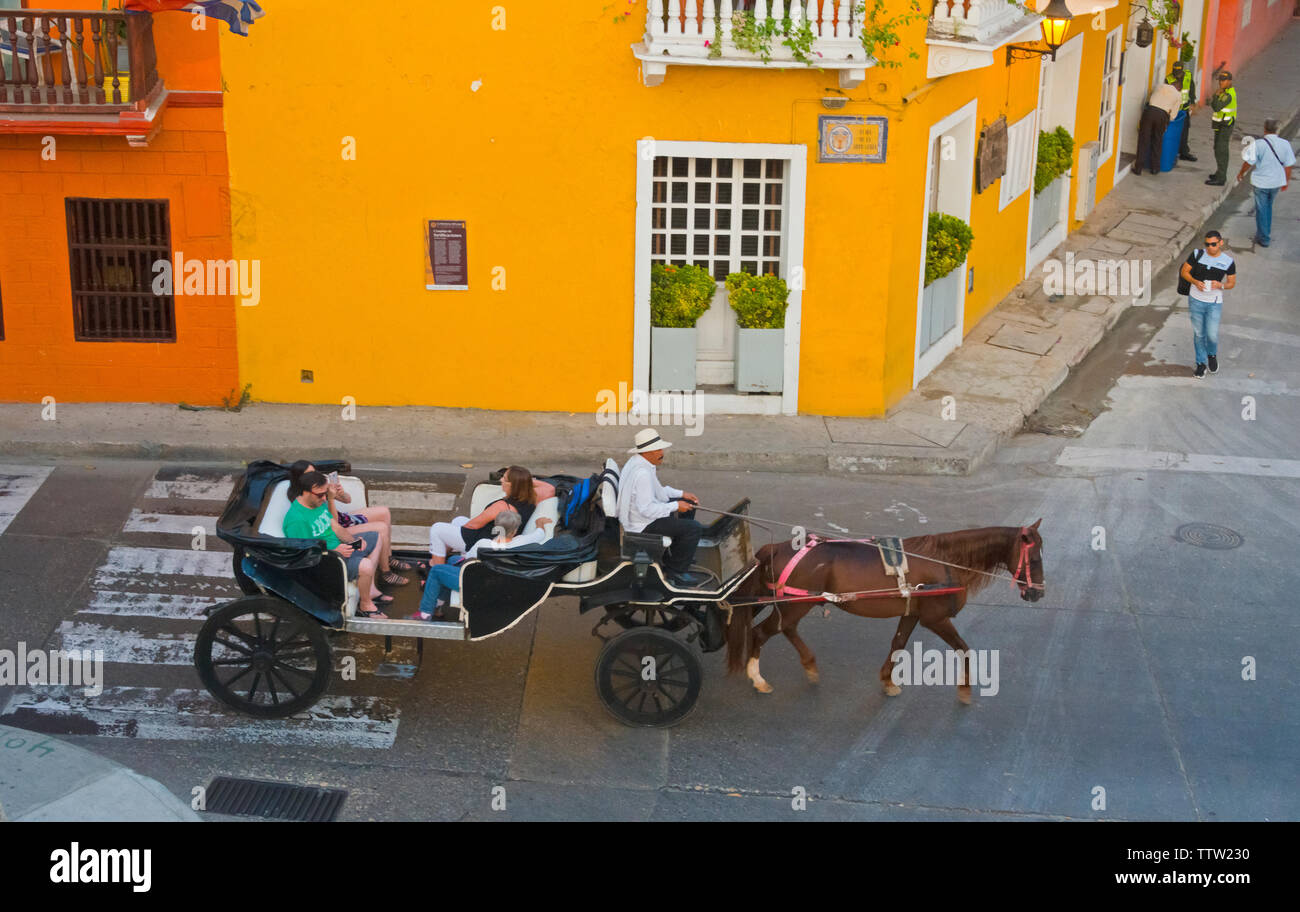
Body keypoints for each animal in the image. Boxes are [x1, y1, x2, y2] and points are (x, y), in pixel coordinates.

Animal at [728, 522, 1050, 706]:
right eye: (1034, 558)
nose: (1038, 593)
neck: (944, 560)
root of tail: (776, 547)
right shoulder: (935, 619)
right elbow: (964, 649)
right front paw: (964, 690)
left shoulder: (912, 613)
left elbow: (898, 643)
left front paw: (887, 680)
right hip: (796, 604)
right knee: (762, 632)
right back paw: (758, 678)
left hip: (795, 603)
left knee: (785, 629)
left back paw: (809, 665)